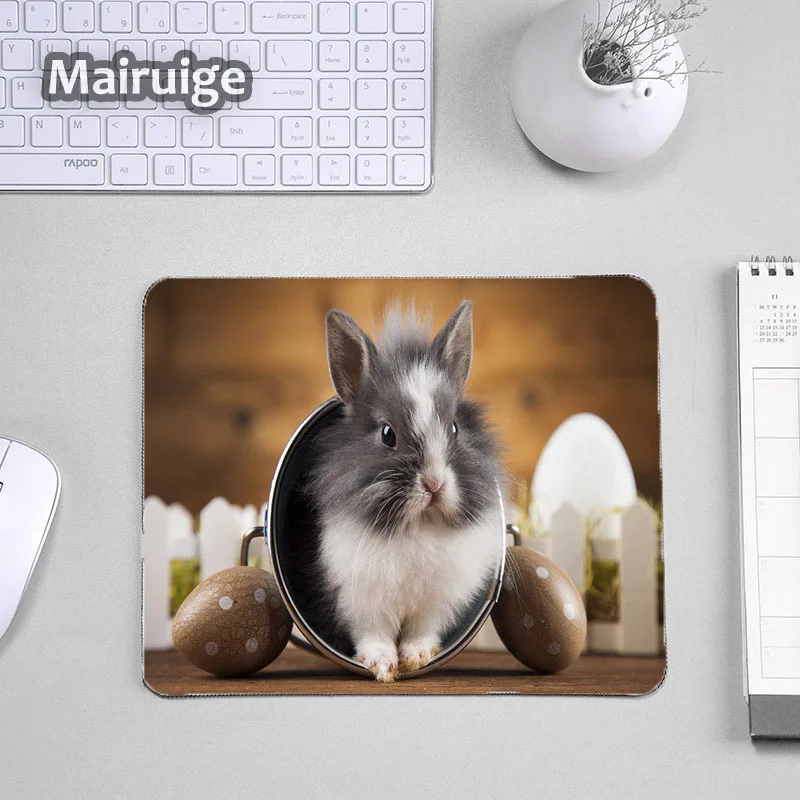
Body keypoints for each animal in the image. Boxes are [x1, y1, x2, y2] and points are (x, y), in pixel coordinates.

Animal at [308, 301, 505, 682]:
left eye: (455, 428)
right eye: (388, 434)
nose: (434, 483)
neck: (418, 526)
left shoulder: (435, 603)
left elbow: (421, 631)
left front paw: (416, 657)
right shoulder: (362, 600)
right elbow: (375, 635)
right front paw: (383, 667)